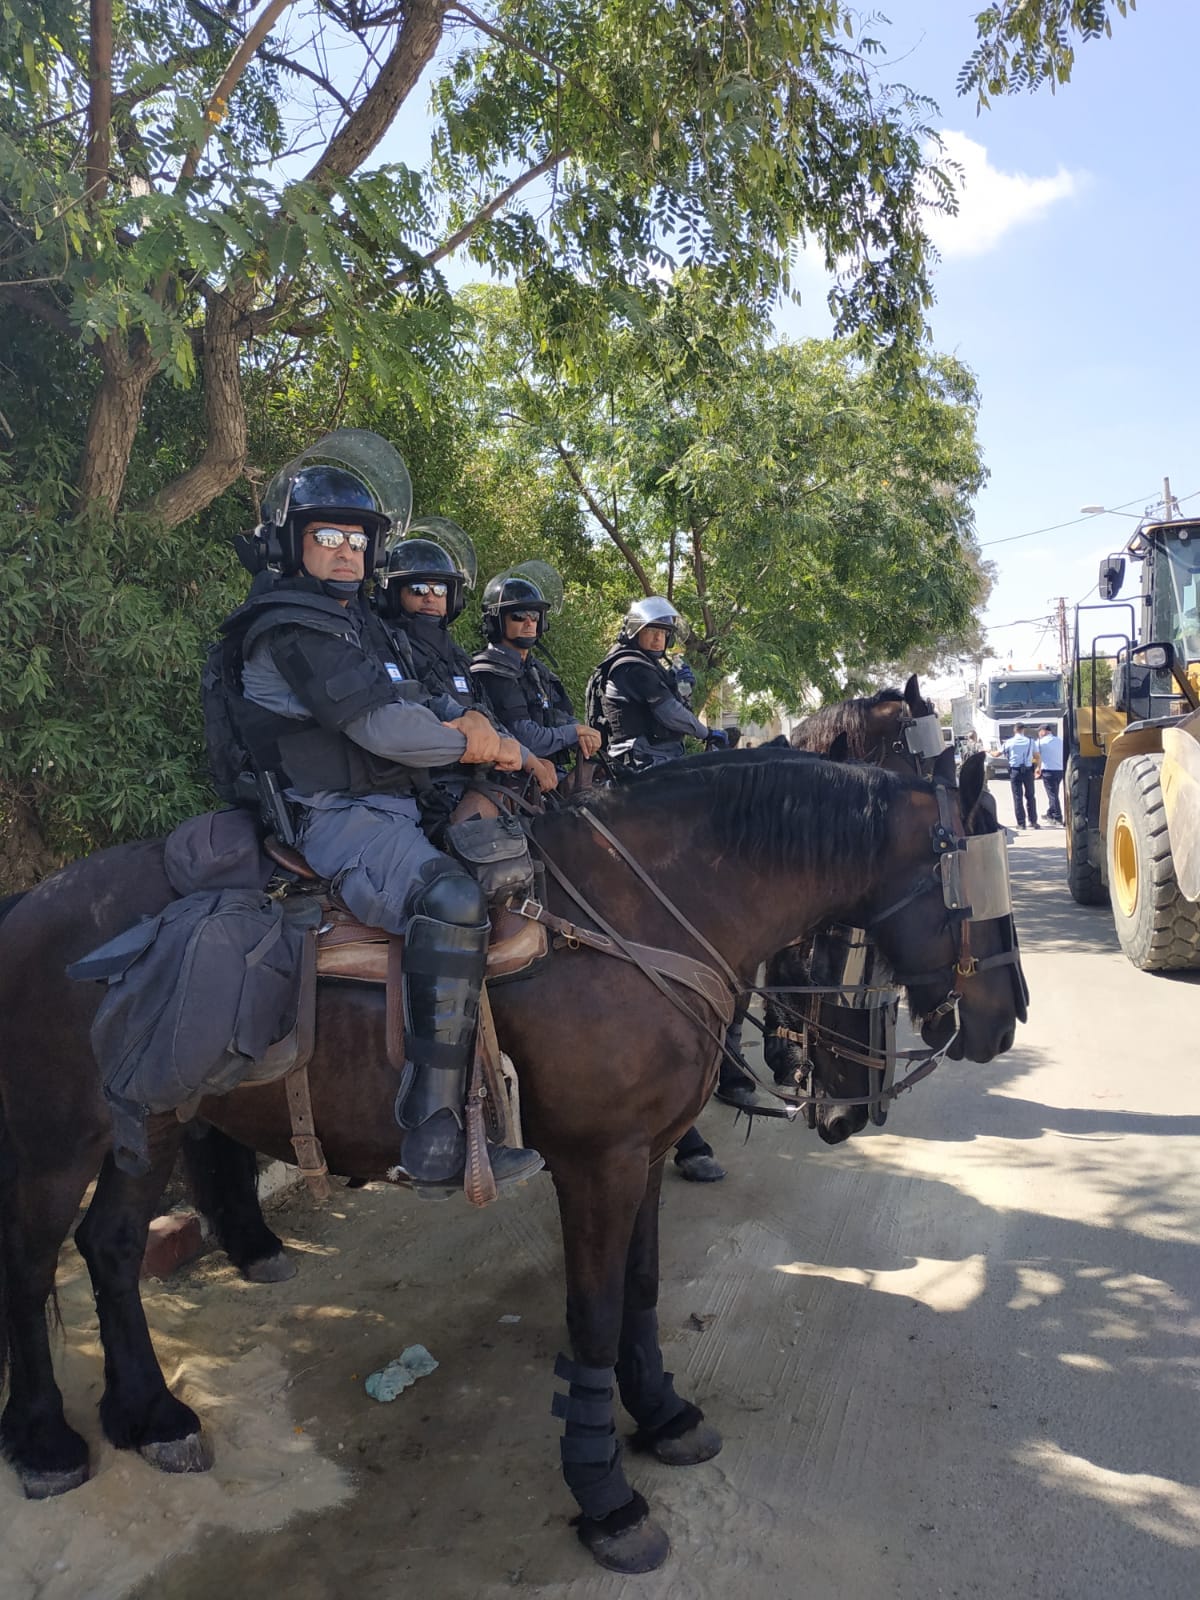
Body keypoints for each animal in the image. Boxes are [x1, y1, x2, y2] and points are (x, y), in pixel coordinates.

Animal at [0, 748, 1030, 1574]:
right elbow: (594, 1315)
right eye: (972, 890)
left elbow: (642, 1293)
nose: (1004, 1020)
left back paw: (150, 1415)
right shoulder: (597, 1164)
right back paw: (47, 1441)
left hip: (149, 1124)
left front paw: (662, 1414)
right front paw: (606, 1497)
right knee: (30, 1266)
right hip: (55, 1142)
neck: (637, 916)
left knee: (112, 1246)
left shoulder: (645, 1153)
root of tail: (28, 904)